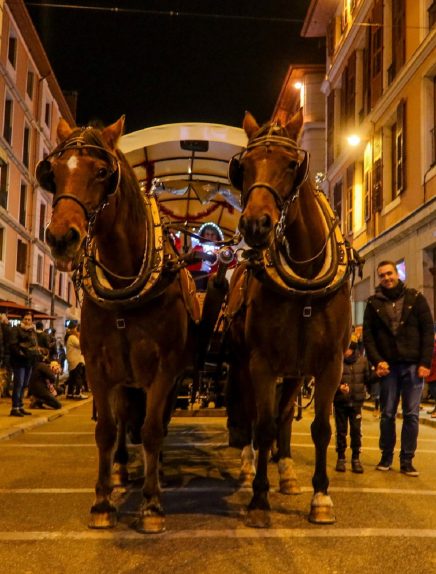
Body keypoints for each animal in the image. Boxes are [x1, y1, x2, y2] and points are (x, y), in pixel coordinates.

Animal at [37, 118, 198, 536]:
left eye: (102, 173)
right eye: (52, 173)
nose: (60, 237)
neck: (129, 291)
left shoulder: (164, 370)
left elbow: (153, 430)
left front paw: (152, 504)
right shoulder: (98, 367)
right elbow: (107, 430)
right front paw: (102, 501)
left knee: (156, 422)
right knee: (126, 417)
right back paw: (123, 469)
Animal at [225, 110, 358, 528]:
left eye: (290, 164)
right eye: (245, 166)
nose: (255, 225)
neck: (306, 280)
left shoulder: (328, 365)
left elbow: (320, 427)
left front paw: (320, 496)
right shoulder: (261, 363)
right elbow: (263, 424)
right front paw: (258, 499)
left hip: (296, 372)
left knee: (284, 416)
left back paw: (284, 471)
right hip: (243, 364)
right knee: (249, 413)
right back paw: (250, 464)